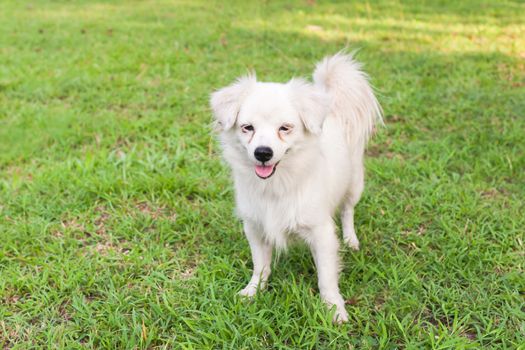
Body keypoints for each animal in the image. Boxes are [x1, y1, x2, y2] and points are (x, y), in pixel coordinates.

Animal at [209, 52, 380, 322]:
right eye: (248, 128)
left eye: (285, 128)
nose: (263, 153)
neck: (276, 184)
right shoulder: (254, 226)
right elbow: (260, 265)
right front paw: (253, 290)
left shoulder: (322, 234)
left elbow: (326, 278)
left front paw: (334, 309)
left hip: (354, 184)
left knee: (347, 210)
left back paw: (351, 239)